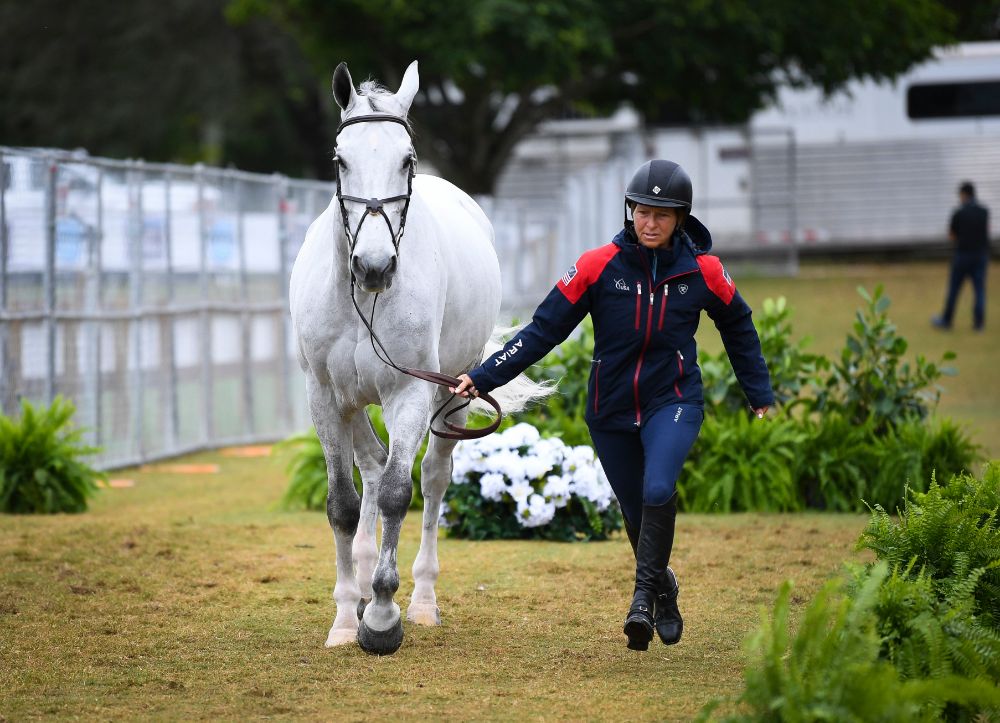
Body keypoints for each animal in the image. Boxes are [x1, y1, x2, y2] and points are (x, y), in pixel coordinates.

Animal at [290, 59, 548, 652]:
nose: (374, 265)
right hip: (356, 401)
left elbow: (394, 494)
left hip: (453, 392)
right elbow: (343, 502)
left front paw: (384, 618)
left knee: (431, 478)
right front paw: (347, 617)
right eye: (340, 160)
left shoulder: (408, 391)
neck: (361, 301)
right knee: (370, 464)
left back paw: (423, 600)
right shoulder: (325, 397)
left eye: (405, 160)